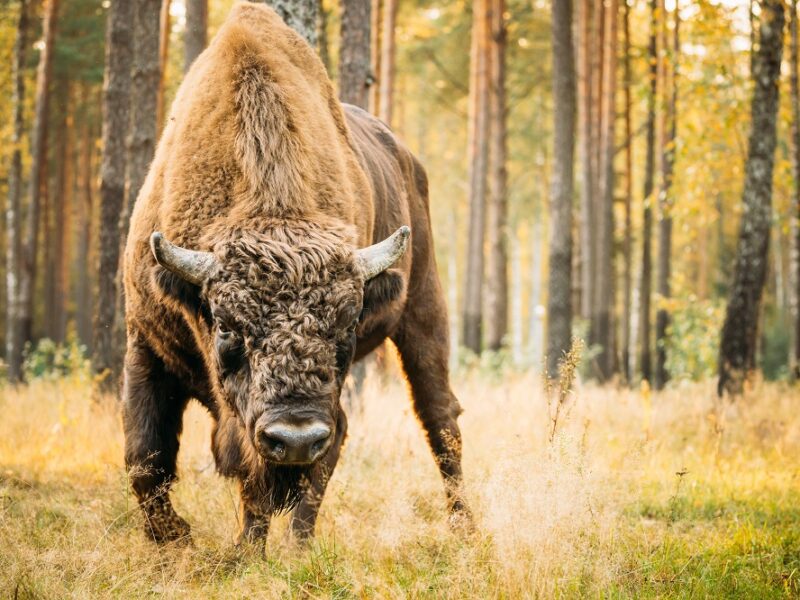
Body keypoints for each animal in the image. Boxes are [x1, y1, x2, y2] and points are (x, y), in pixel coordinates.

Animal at [122, 1, 466, 544]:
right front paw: (176, 542)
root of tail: (406, 157)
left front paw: (246, 552)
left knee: (436, 417)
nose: (297, 435)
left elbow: (270, 479)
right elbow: (145, 458)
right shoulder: (146, 342)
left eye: (347, 327)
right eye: (227, 327)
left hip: (424, 310)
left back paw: (459, 528)